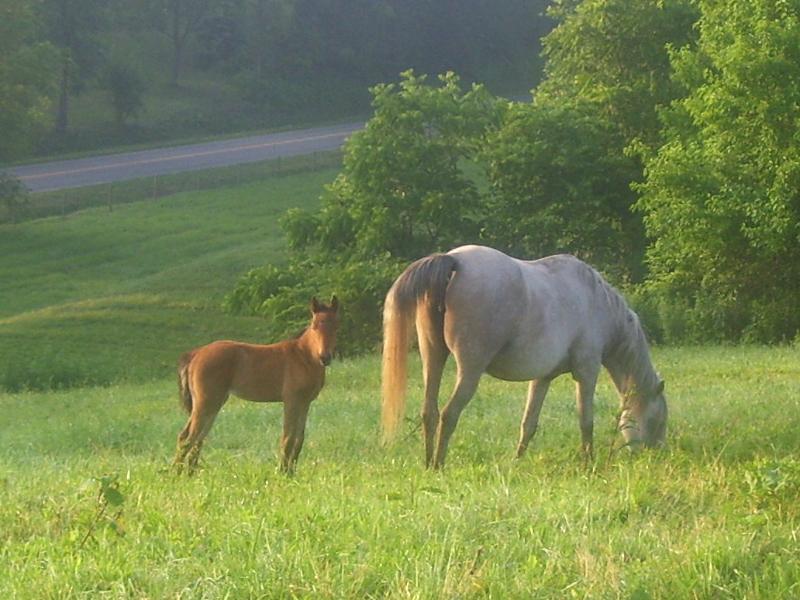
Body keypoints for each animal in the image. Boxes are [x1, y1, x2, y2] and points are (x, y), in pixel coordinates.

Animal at [382, 244, 668, 468]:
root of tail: (454, 261)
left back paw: (428, 463)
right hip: (470, 370)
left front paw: (516, 462)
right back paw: (439, 465)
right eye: (660, 419)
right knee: (448, 414)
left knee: (429, 412)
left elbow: (528, 423)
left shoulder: (543, 378)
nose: (654, 455)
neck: (596, 302)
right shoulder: (587, 371)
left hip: (433, 358)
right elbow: (586, 421)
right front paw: (589, 463)